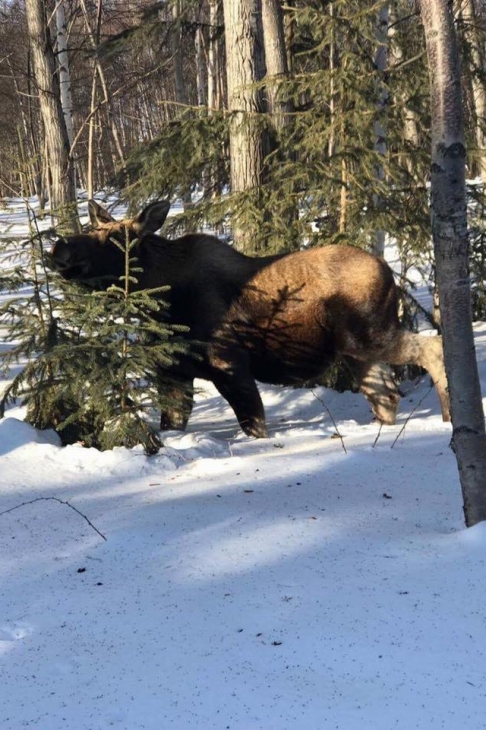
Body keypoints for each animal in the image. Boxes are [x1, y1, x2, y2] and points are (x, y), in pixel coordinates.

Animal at [51, 199, 450, 436]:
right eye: (91, 231)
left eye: (117, 239)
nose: (60, 247)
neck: (161, 303)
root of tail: (389, 273)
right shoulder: (173, 373)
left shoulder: (229, 364)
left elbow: (254, 423)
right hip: (357, 351)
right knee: (386, 394)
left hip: (372, 335)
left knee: (433, 348)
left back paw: (449, 419)